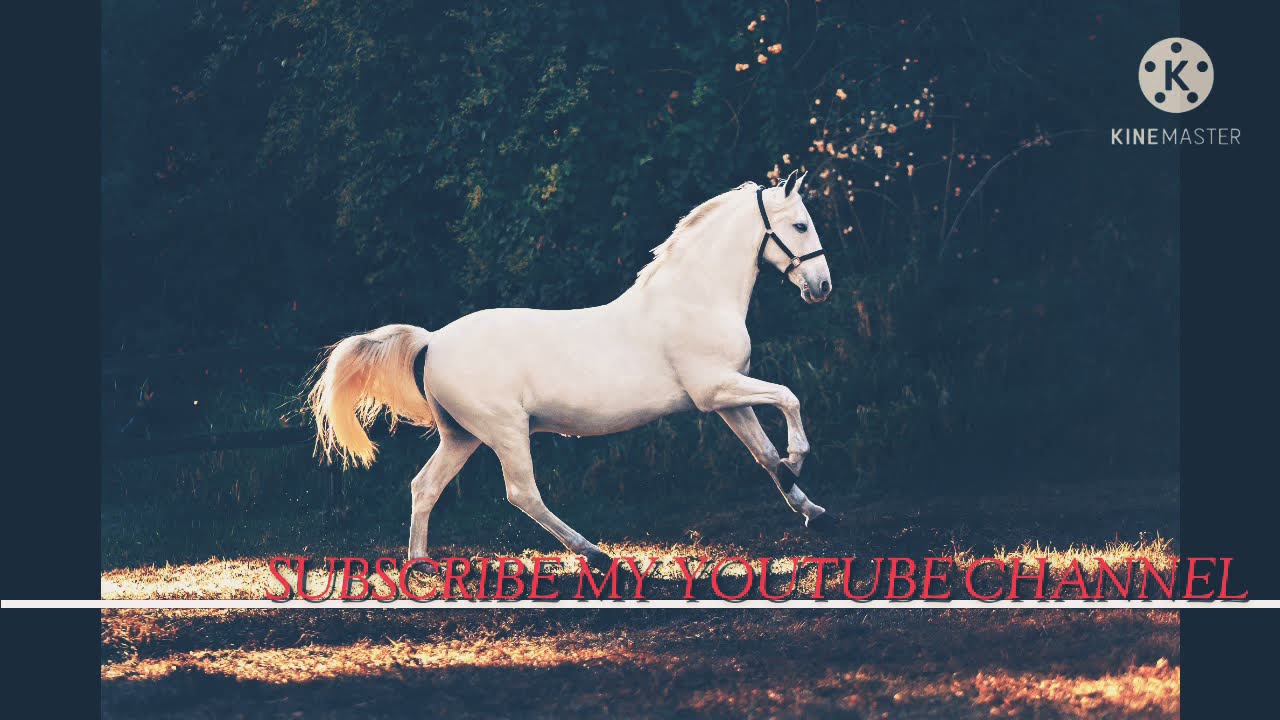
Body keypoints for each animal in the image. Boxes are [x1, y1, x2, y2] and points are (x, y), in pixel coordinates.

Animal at [306, 169, 834, 566]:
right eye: (801, 226)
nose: (822, 286)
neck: (695, 299)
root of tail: (433, 342)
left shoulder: (727, 399)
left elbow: (763, 454)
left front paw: (812, 508)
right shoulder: (716, 390)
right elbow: (789, 398)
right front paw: (797, 462)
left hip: (462, 435)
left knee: (425, 486)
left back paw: (421, 565)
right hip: (505, 431)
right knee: (522, 493)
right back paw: (595, 554)